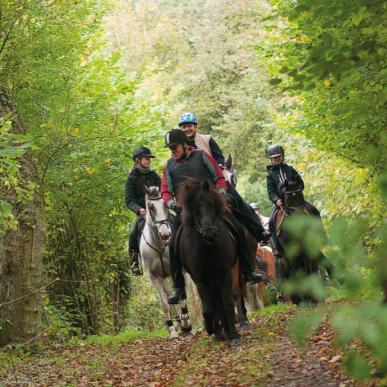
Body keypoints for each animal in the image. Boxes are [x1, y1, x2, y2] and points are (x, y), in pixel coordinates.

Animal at [141, 186, 192, 338]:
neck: (159, 244)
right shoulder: (155, 277)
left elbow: (183, 294)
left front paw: (186, 323)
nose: (165, 233)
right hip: (164, 279)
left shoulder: (180, 271)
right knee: (170, 296)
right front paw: (172, 330)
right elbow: (164, 304)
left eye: (164, 205)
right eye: (151, 207)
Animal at [180, 179, 242, 346]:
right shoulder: (200, 279)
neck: (208, 249)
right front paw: (210, 329)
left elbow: (227, 303)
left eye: (210, 203)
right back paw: (218, 332)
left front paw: (233, 335)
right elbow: (208, 309)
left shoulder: (224, 274)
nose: (210, 234)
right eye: (194, 207)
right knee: (214, 305)